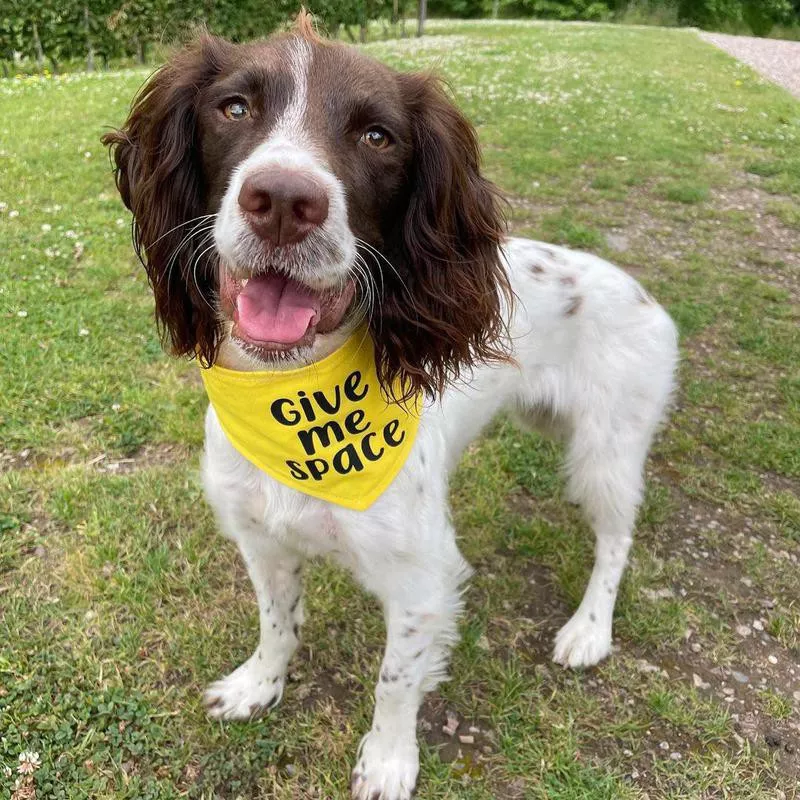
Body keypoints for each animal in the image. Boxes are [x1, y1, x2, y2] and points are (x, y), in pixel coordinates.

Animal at [103, 14, 680, 800]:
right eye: (234, 107)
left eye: (378, 136)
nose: (282, 202)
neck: (291, 399)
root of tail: (645, 295)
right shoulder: (261, 540)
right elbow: (277, 624)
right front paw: (259, 685)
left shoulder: (422, 581)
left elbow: (396, 681)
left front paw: (387, 760)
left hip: (606, 451)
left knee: (616, 540)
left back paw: (589, 629)